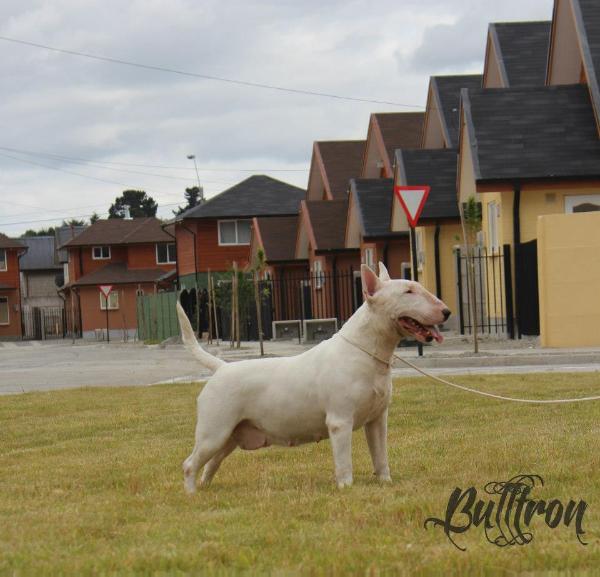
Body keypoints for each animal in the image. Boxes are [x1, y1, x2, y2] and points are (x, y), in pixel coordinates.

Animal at [178, 260, 450, 490]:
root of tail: (221, 367)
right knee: (190, 464)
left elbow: (380, 455)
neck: (366, 352)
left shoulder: (377, 420)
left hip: (229, 437)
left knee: (211, 463)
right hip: (214, 431)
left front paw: (386, 483)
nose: (446, 311)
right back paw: (192, 495)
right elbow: (344, 461)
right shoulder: (340, 421)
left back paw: (205, 489)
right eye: (408, 292)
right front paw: (346, 488)